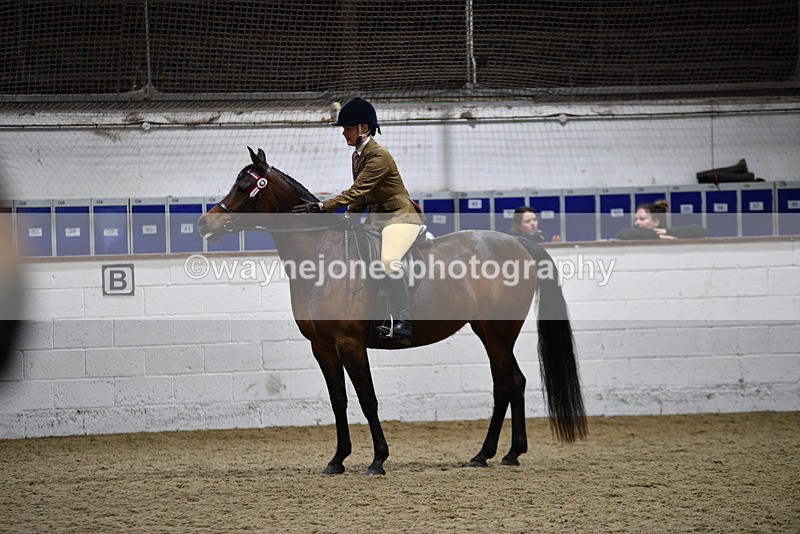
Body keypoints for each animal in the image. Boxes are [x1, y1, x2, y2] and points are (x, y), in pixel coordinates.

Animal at [198, 147, 587, 476]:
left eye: (244, 186)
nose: (205, 224)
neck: (322, 256)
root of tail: (518, 242)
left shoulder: (350, 343)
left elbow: (368, 400)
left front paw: (378, 460)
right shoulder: (322, 347)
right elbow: (338, 401)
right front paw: (337, 460)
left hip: (497, 332)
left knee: (504, 384)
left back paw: (488, 453)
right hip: (491, 331)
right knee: (514, 382)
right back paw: (506, 453)